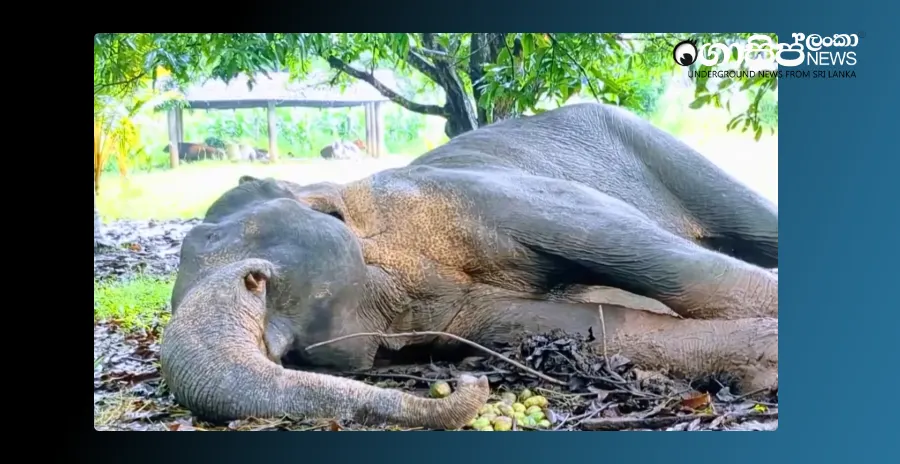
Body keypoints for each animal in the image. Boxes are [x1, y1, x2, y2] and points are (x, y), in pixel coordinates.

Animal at [161, 102, 778, 430]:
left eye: (257, 279)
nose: (470, 379)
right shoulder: (460, 315)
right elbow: (593, 327)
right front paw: (763, 364)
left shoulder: (471, 194)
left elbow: (633, 247)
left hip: (658, 146)